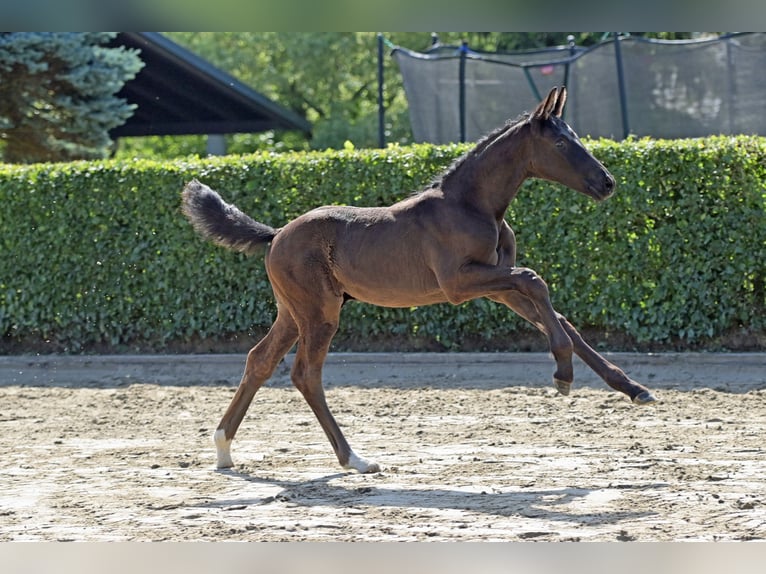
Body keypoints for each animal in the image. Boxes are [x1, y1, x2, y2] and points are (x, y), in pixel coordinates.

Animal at [183, 85, 656, 472]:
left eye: (575, 135)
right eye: (560, 141)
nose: (607, 182)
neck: (471, 204)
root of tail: (277, 233)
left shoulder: (498, 286)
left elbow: (557, 315)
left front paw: (633, 388)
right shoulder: (459, 283)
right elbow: (535, 279)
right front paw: (563, 375)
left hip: (293, 311)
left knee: (260, 360)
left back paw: (224, 449)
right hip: (320, 312)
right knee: (305, 374)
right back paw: (354, 459)